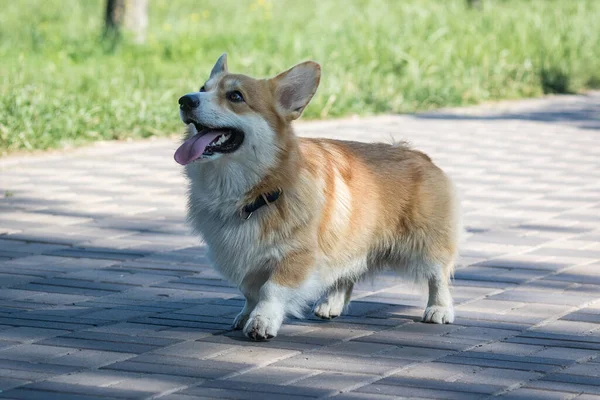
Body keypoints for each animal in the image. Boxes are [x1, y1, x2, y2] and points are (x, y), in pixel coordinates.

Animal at [173, 54, 460, 340]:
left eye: (235, 96)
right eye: (202, 88)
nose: (185, 100)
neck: (255, 190)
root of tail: (420, 155)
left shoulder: (297, 256)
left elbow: (271, 291)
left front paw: (262, 321)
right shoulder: (246, 259)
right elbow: (250, 292)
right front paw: (246, 315)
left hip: (426, 243)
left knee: (438, 275)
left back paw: (439, 309)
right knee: (347, 272)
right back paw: (331, 303)